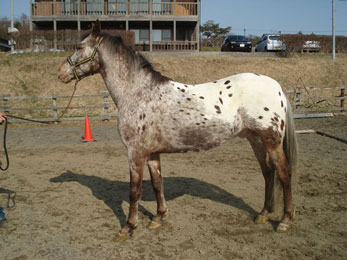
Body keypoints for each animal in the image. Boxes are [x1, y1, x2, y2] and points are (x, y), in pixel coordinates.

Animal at [57, 21, 300, 241]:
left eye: (78, 47)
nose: (60, 74)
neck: (138, 92)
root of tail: (276, 86)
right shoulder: (152, 153)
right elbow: (157, 184)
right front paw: (158, 218)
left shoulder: (135, 153)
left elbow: (134, 191)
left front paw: (128, 228)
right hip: (255, 140)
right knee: (268, 172)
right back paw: (264, 214)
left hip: (271, 140)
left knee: (284, 172)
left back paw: (285, 221)